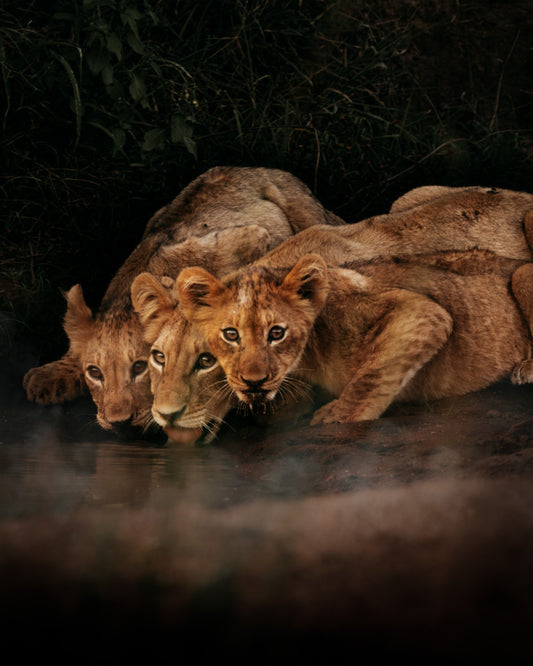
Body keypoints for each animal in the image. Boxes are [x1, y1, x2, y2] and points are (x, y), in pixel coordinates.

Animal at [22, 166, 342, 434]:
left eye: (140, 367)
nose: (119, 423)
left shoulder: (253, 238)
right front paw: (48, 377)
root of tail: (251, 166)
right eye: (94, 373)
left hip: (304, 210)